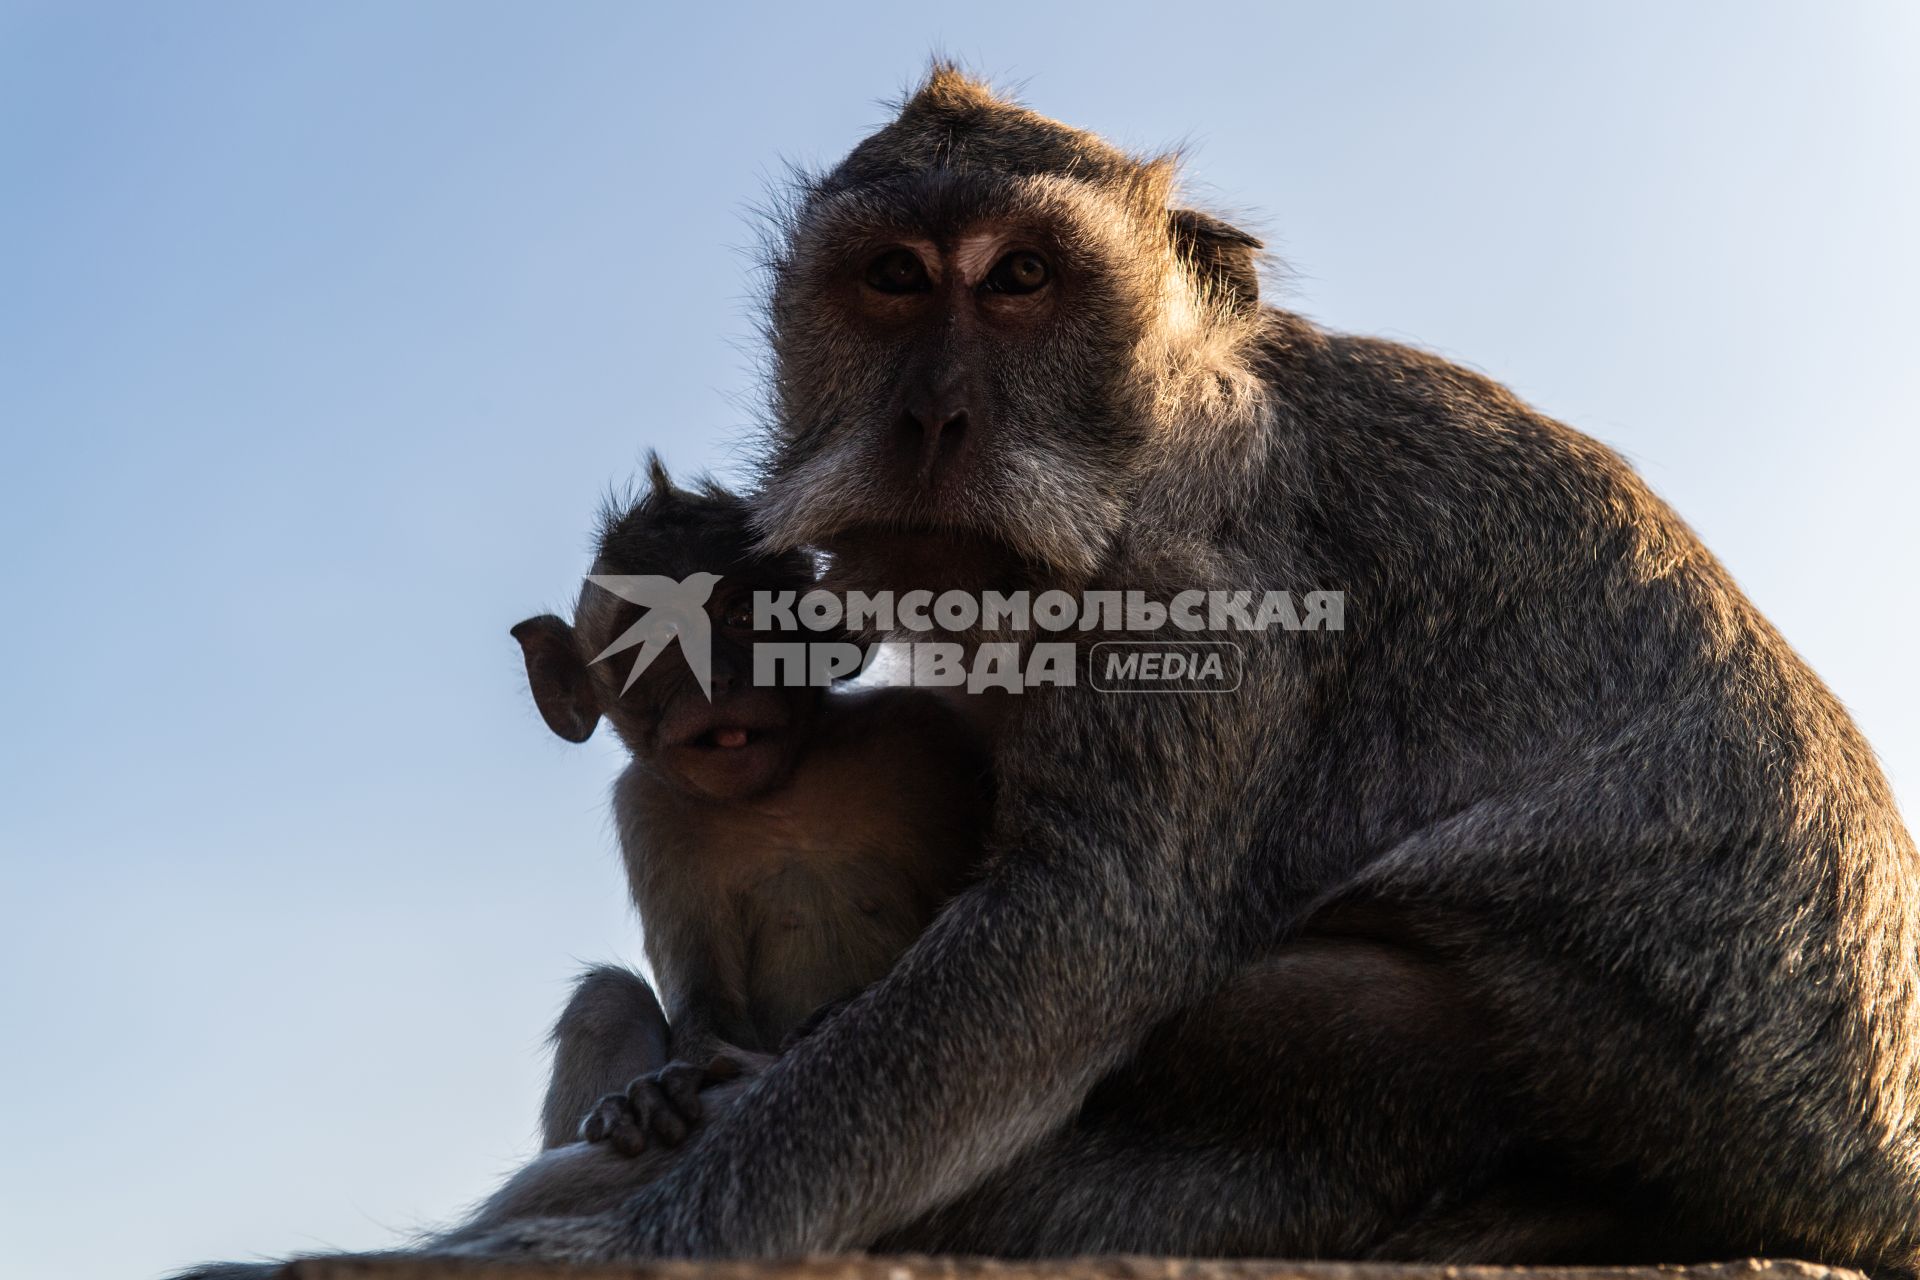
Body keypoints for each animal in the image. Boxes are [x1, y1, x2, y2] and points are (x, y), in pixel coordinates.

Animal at [510, 462, 990, 1159]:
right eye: (655, 636)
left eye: (742, 613)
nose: (716, 678)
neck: (780, 798)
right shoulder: (650, 810)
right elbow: (707, 1010)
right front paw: (655, 1096)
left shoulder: (921, 739)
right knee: (608, 996)